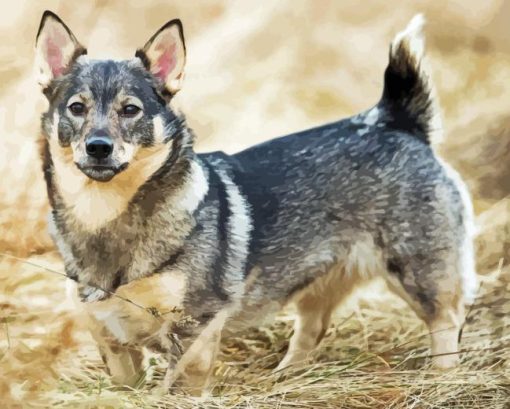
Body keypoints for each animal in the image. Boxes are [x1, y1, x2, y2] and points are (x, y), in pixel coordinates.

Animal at [36, 10, 478, 392]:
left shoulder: (194, 328)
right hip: (320, 282)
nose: (98, 147)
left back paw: (444, 379)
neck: (105, 215)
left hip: (418, 273)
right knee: (311, 330)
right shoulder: (113, 343)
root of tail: (394, 121)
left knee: (447, 321)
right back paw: (286, 378)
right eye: (76, 108)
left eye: (130, 110)